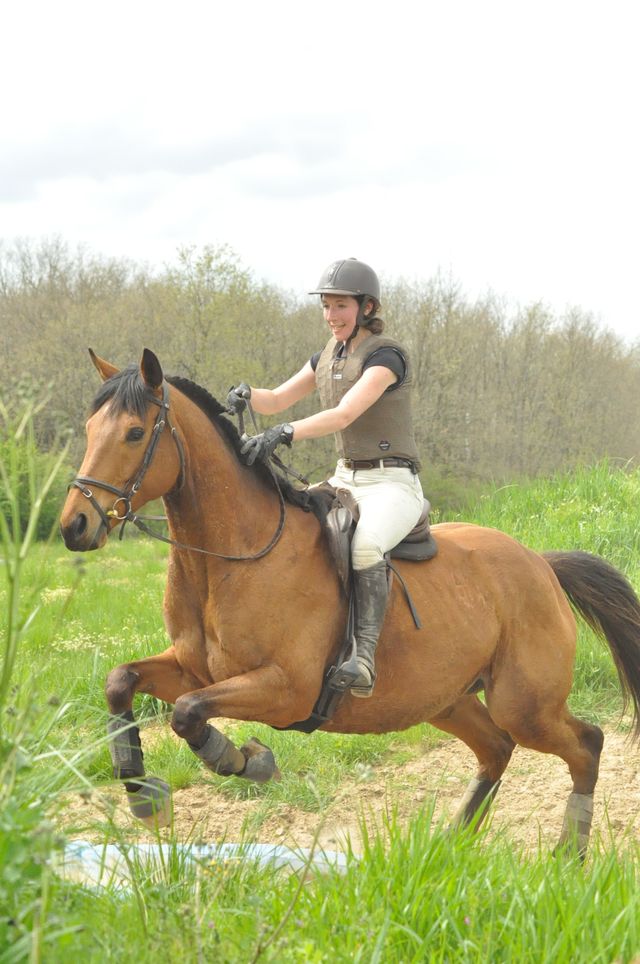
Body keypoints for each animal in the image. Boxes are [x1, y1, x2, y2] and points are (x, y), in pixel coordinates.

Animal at [59, 348, 640, 854]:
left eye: (135, 433)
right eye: (89, 431)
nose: (74, 526)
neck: (232, 556)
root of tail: (540, 564)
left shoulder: (284, 690)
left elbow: (187, 713)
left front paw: (248, 761)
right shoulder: (192, 669)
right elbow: (122, 682)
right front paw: (143, 797)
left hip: (525, 704)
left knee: (585, 745)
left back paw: (569, 855)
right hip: (446, 700)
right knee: (496, 749)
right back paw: (448, 849)